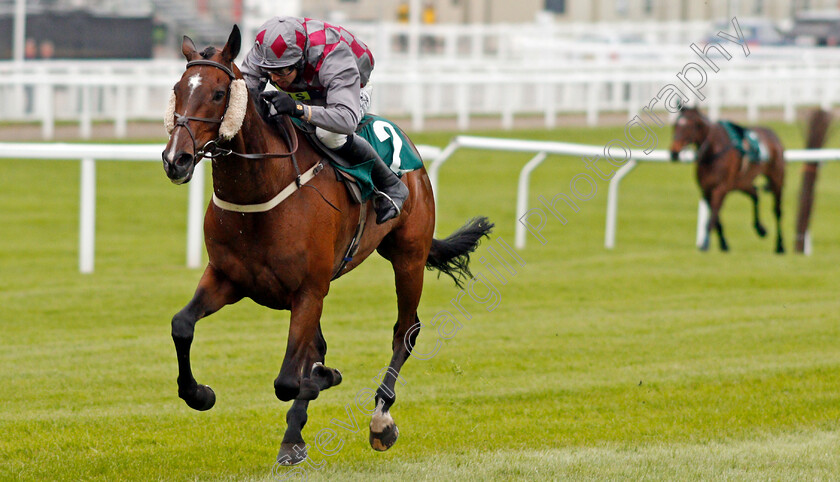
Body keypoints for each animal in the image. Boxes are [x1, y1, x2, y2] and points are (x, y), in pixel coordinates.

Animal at [161, 25, 492, 464]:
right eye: (178, 89)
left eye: (218, 93)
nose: (175, 159)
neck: (258, 199)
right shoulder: (228, 278)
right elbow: (182, 325)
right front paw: (199, 393)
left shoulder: (308, 290)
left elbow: (288, 379)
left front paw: (325, 378)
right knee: (319, 345)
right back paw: (293, 436)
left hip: (408, 257)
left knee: (405, 330)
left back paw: (380, 419)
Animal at [668, 107, 788, 254]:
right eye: (675, 125)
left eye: (691, 126)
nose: (674, 152)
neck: (713, 151)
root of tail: (774, 135)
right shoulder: (706, 190)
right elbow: (717, 219)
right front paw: (724, 245)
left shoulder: (721, 188)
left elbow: (712, 218)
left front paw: (705, 245)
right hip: (742, 182)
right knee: (755, 194)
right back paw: (760, 229)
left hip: (776, 180)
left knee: (777, 211)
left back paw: (780, 246)